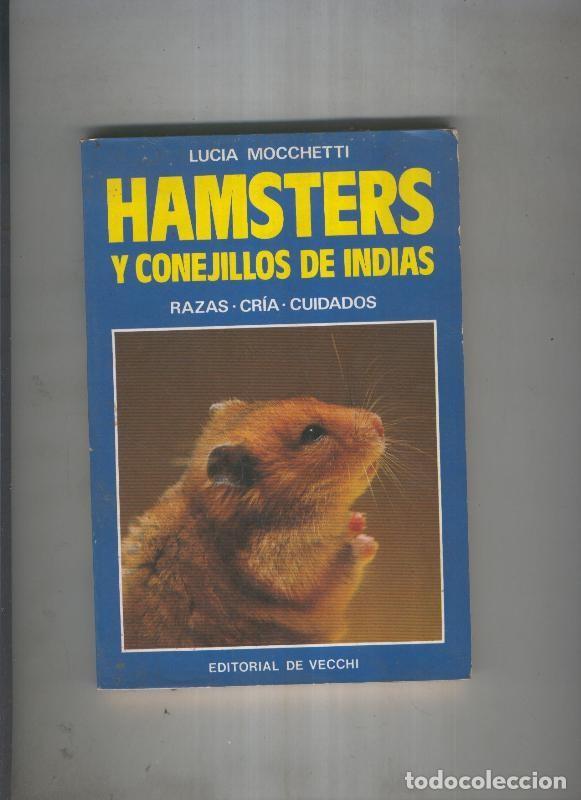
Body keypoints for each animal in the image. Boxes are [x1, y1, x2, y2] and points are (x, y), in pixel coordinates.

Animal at [121, 397, 385, 649]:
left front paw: (358, 521)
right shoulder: (296, 573)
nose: (379, 423)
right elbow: (344, 564)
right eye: (312, 433)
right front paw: (365, 537)